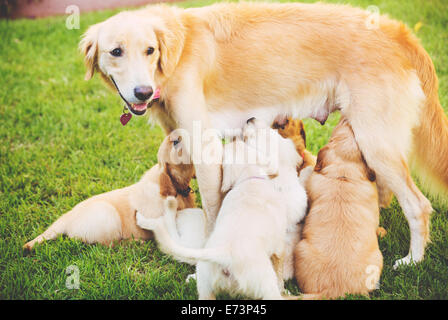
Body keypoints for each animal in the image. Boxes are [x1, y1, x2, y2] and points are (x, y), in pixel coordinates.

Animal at [23, 131, 196, 251]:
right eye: (175, 142)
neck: (177, 188)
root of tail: (65, 219)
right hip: (107, 216)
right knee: (110, 245)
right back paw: (136, 243)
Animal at [80, 2, 448, 268]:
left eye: (150, 50)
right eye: (116, 52)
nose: (142, 92)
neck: (177, 53)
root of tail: (396, 31)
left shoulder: (206, 150)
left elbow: (213, 213)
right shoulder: (179, 139)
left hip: (377, 143)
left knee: (418, 206)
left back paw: (413, 261)